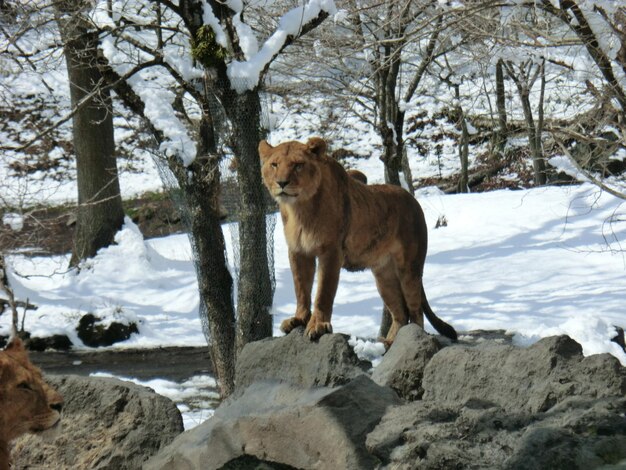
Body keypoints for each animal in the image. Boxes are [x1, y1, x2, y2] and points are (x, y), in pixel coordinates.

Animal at [256, 136, 456, 346]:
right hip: (384, 275)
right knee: (400, 312)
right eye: (274, 164)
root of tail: (413, 199)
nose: (281, 182)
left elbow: (323, 293)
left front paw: (317, 325)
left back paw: (410, 339)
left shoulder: (331, 251)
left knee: (415, 310)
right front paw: (299, 319)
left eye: (298, 165)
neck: (299, 210)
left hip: (409, 267)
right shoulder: (298, 251)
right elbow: (301, 288)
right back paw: (388, 343)